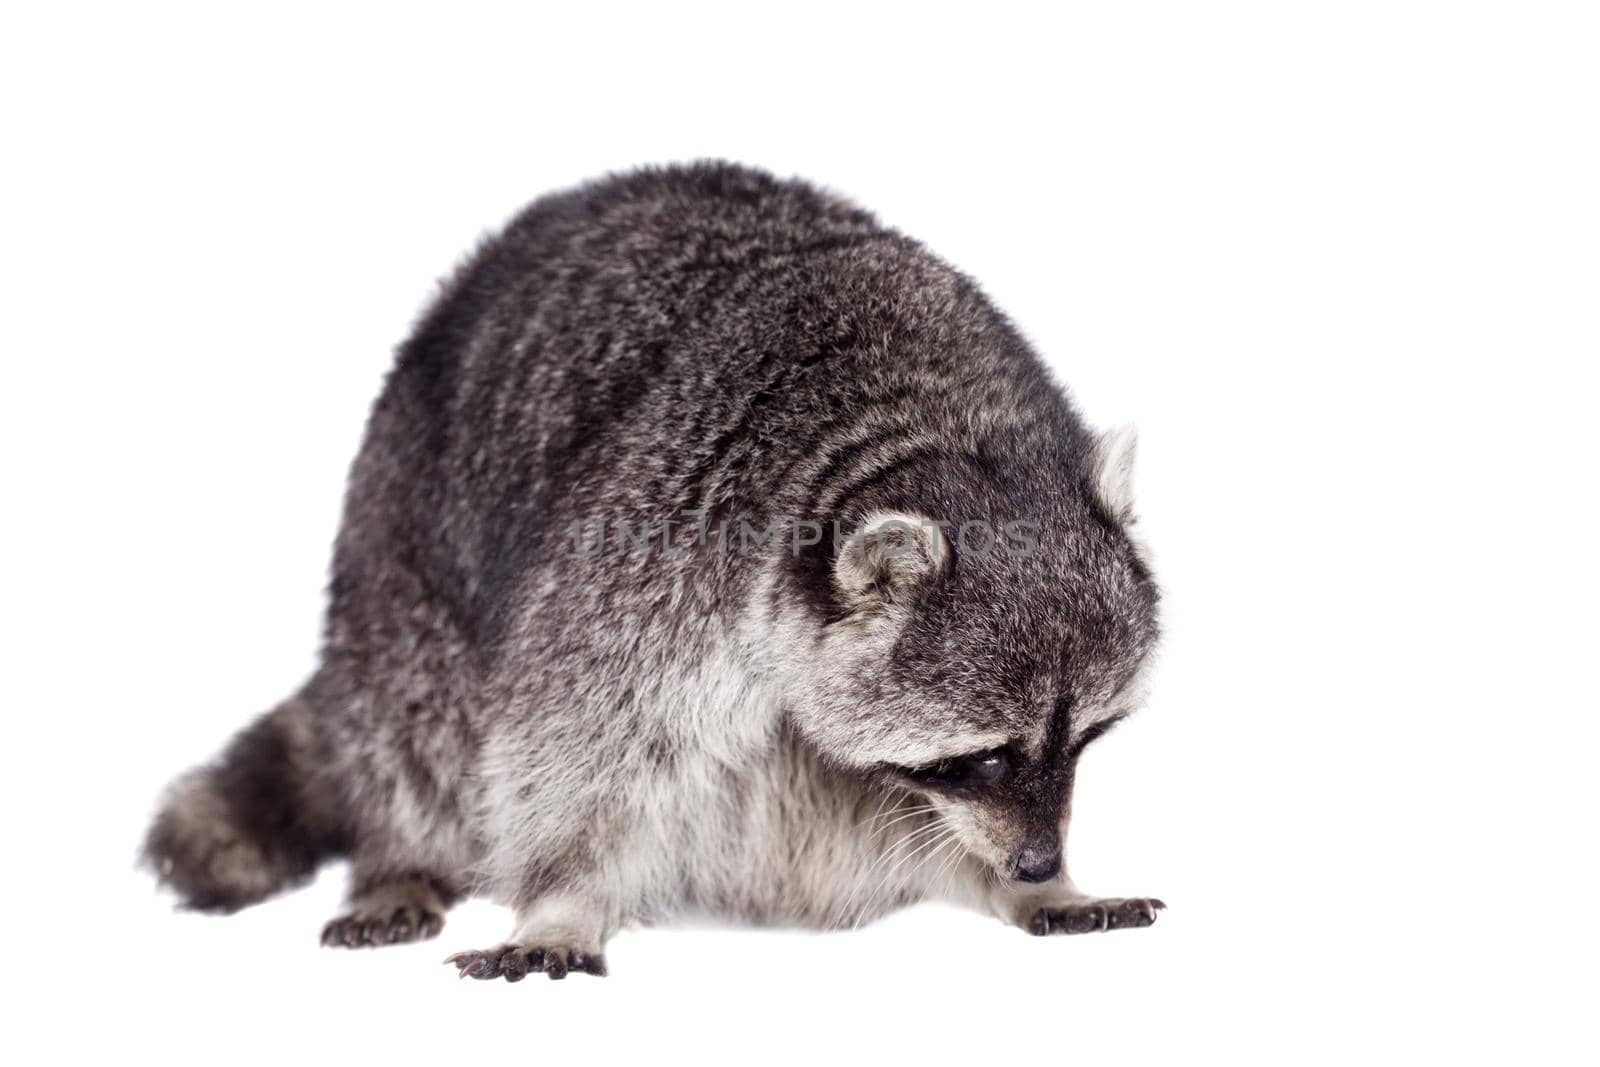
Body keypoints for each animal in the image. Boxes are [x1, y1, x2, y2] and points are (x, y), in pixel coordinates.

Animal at [147, 163, 1164, 979]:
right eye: (984, 753)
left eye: (1087, 740)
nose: (1035, 859)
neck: (926, 428)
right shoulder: (656, 538)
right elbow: (575, 735)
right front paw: (562, 895)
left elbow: (882, 798)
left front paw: (1019, 882)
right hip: (398, 552)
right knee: (413, 730)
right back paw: (397, 853)